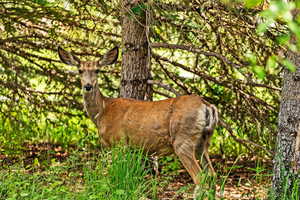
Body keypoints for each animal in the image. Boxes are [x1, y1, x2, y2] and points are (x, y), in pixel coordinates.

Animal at [58, 45, 218, 184]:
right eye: (80, 70)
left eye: (97, 70)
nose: (88, 86)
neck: (102, 111)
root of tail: (206, 105)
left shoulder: (119, 141)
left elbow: (118, 175)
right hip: (204, 141)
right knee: (212, 174)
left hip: (183, 139)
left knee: (200, 178)